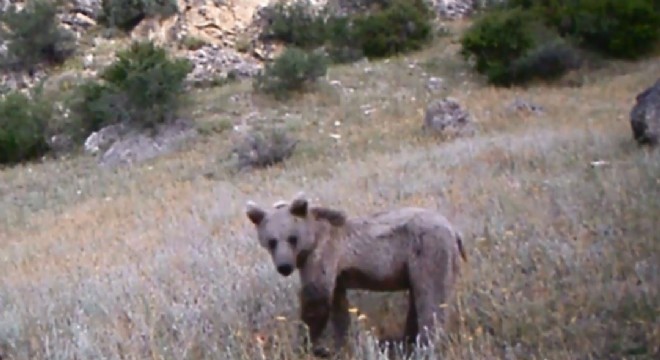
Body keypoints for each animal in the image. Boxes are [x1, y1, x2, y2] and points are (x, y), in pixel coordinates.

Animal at [245, 193, 466, 356]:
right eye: (271, 241)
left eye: (292, 238)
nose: (284, 266)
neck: (313, 238)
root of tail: (454, 230)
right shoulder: (337, 276)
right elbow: (338, 307)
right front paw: (340, 345)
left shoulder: (324, 255)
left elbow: (316, 298)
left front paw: (306, 344)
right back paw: (407, 343)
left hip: (428, 251)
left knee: (431, 300)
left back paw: (425, 346)